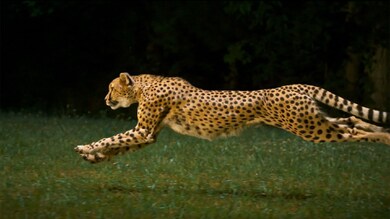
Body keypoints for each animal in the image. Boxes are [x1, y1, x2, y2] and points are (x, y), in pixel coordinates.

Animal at [74, 72, 390, 163]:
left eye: (111, 88)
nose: (106, 99)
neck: (143, 86)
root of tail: (297, 85)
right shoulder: (148, 134)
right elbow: (118, 145)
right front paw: (94, 157)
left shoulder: (142, 129)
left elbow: (111, 138)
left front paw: (86, 147)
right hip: (313, 121)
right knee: (351, 122)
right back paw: (383, 133)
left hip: (309, 128)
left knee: (351, 133)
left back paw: (384, 138)